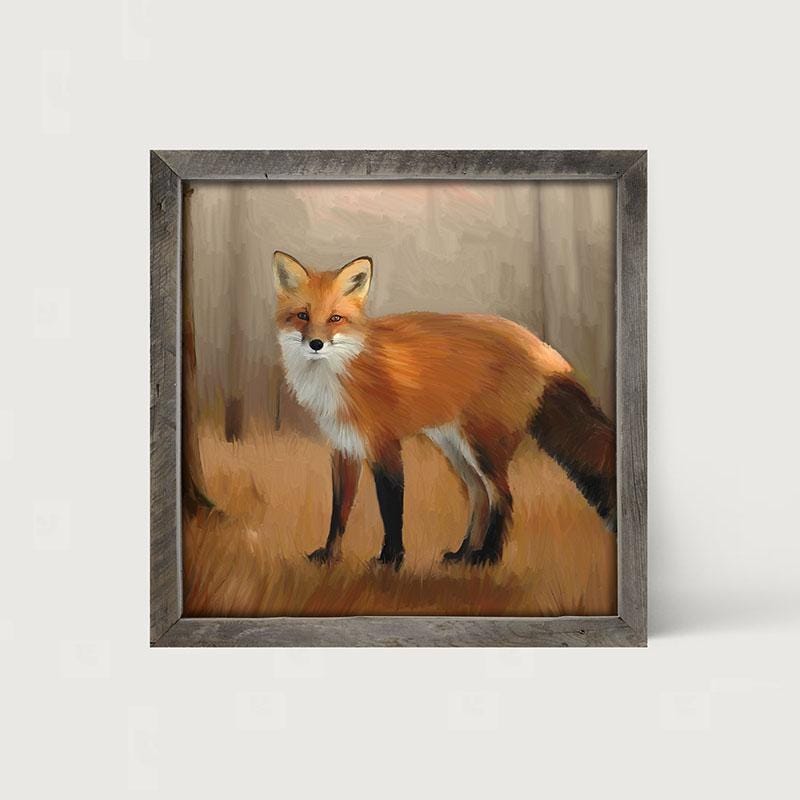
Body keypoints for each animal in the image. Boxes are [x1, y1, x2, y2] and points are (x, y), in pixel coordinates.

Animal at [272, 250, 616, 569]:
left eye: (335, 318)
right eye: (302, 315)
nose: (316, 344)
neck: (341, 372)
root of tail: (540, 346)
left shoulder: (385, 445)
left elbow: (391, 508)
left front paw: (391, 560)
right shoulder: (344, 448)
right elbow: (339, 512)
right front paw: (330, 556)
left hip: (483, 446)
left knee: (503, 497)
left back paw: (488, 557)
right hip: (455, 446)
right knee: (479, 496)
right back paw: (463, 554)